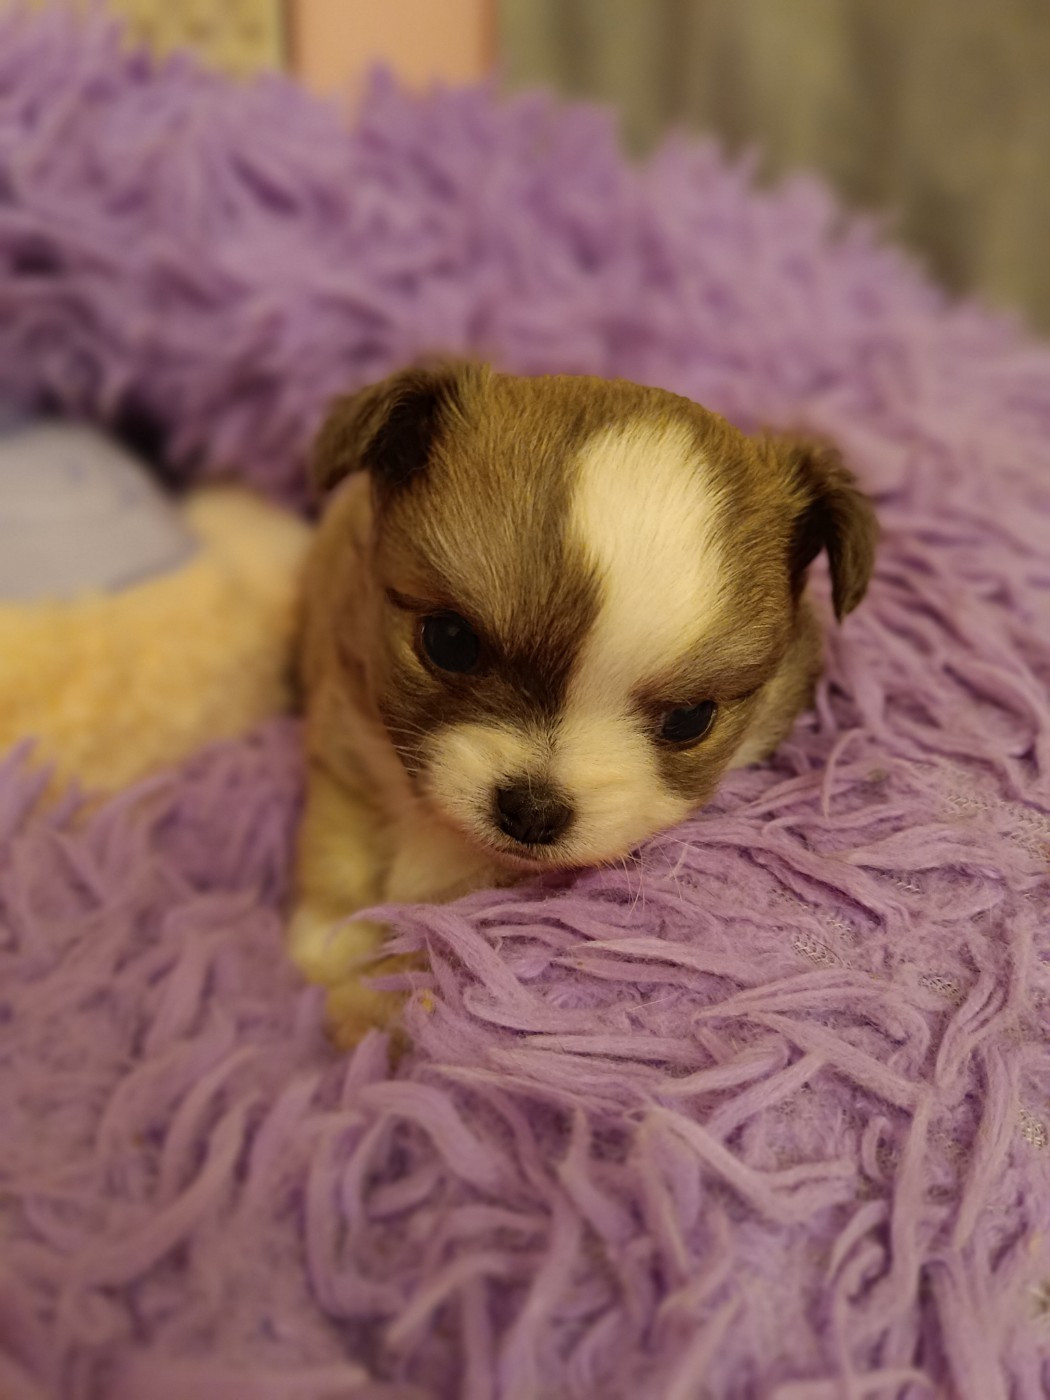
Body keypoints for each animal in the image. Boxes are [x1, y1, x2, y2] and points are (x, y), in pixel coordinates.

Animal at [289, 361, 876, 1043]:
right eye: (450, 641)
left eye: (689, 718)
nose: (533, 812)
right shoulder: (344, 735)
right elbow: (337, 846)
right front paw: (328, 944)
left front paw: (371, 1004)